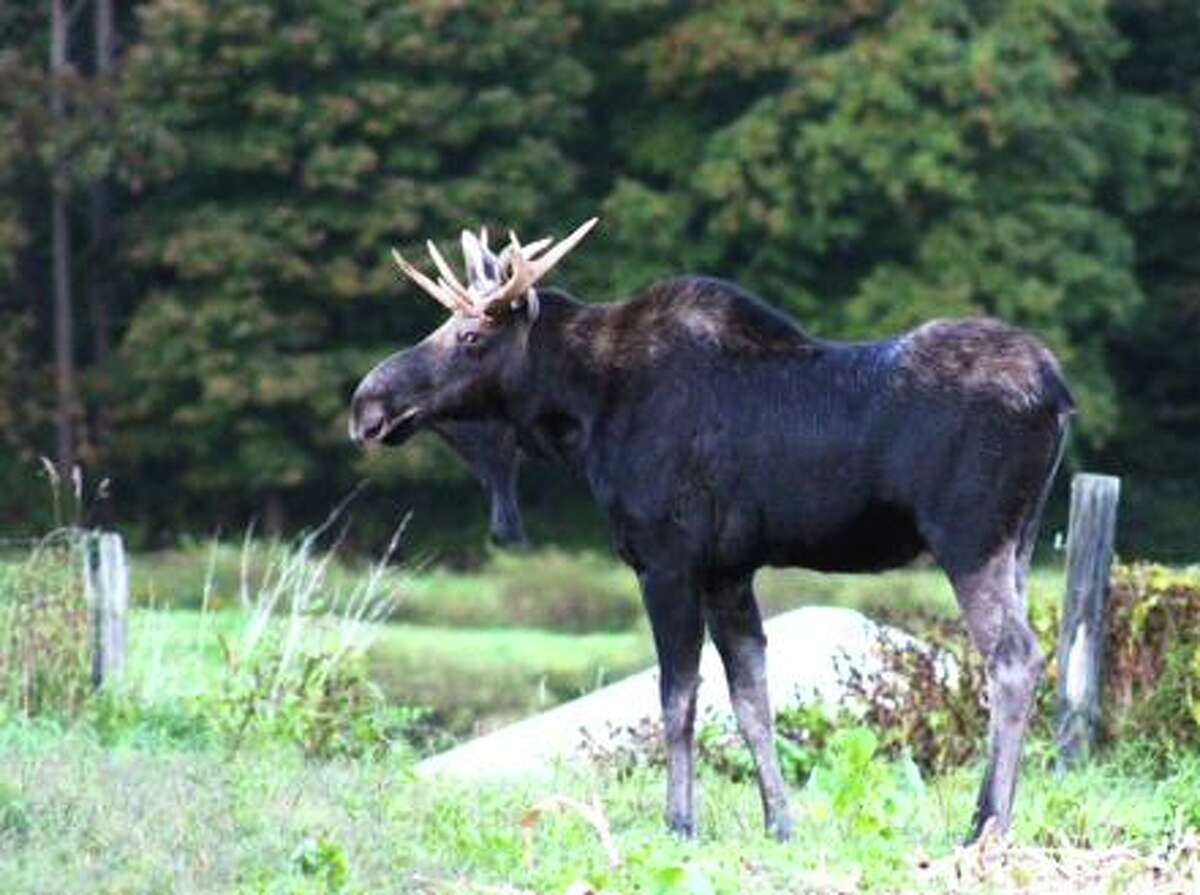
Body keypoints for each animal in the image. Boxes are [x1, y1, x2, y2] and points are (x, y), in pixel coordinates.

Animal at [349, 219, 1073, 843]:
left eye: (471, 337)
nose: (367, 403)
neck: (583, 415)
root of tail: (1060, 394)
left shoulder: (665, 561)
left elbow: (677, 700)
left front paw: (679, 821)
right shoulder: (729, 570)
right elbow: (752, 701)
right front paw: (780, 823)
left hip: (969, 538)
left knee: (1014, 656)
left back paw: (986, 825)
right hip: (1019, 540)